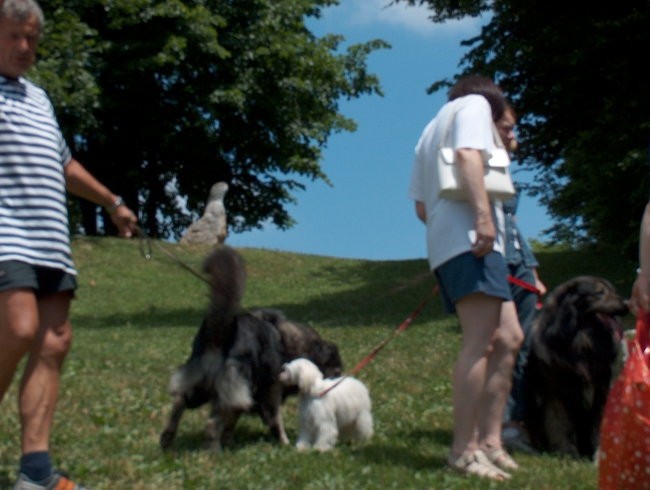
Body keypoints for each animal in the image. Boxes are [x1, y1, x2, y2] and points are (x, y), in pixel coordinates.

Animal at [159, 245, 342, 452]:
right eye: (336, 369)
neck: (289, 344)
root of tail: (222, 334)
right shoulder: (270, 390)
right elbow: (275, 419)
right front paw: (284, 442)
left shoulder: (247, 396)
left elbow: (233, 422)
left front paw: (230, 439)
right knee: (211, 424)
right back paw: (214, 452)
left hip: (203, 384)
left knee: (181, 400)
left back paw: (168, 437)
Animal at [524, 276, 624, 460]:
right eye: (600, 292)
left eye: (612, 291)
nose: (626, 305)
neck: (582, 339)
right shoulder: (556, 391)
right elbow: (560, 423)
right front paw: (566, 453)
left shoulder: (602, 388)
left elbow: (599, 422)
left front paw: (599, 452)